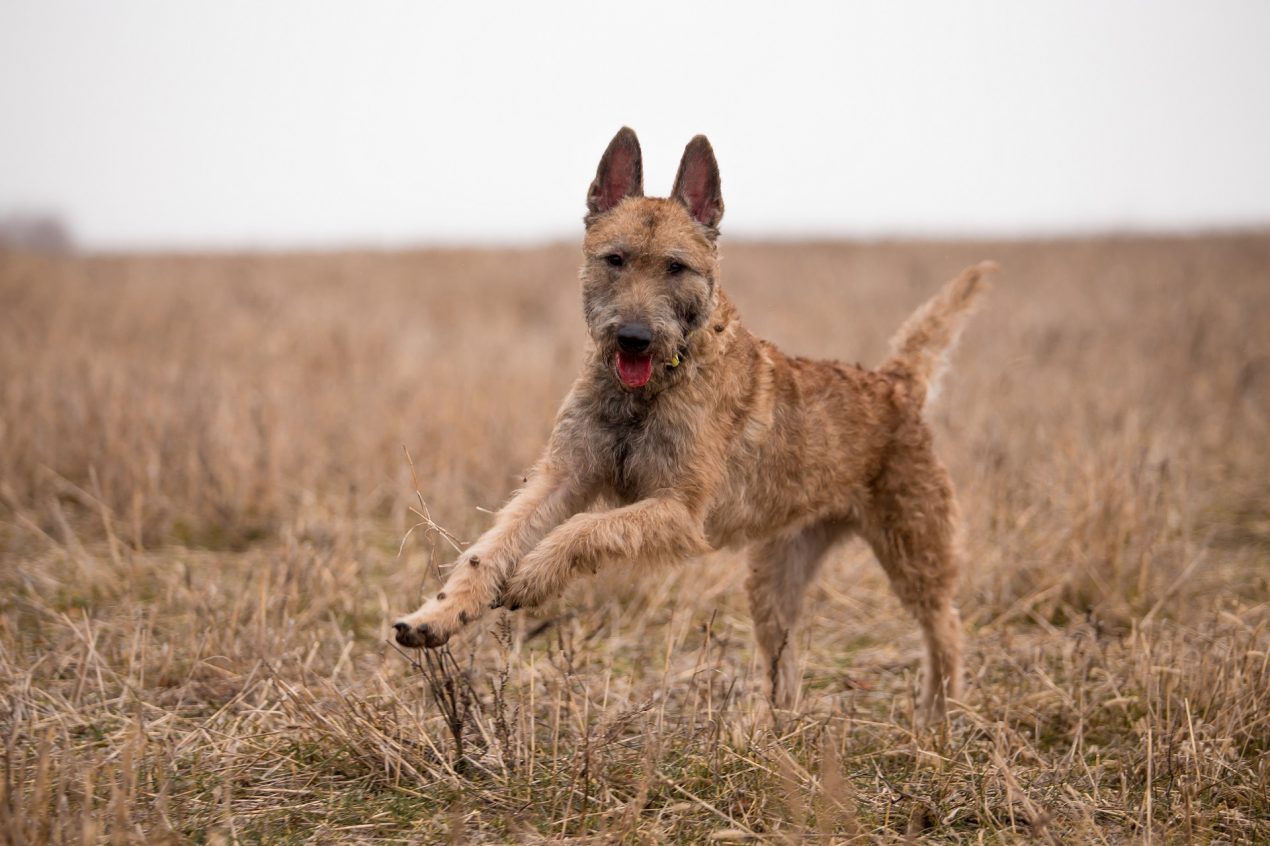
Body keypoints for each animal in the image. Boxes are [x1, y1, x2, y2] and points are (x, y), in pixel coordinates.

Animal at [393, 127, 990, 716]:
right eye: (615, 259)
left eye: (675, 267)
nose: (633, 337)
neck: (652, 388)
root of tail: (895, 383)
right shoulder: (563, 477)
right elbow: (487, 549)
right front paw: (435, 616)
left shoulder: (679, 510)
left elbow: (583, 530)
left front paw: (535, 575)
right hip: (774, 577)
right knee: (786, 663)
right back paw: (777, 729)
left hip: (916, 551)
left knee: (946, 628)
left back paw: (940, 717)